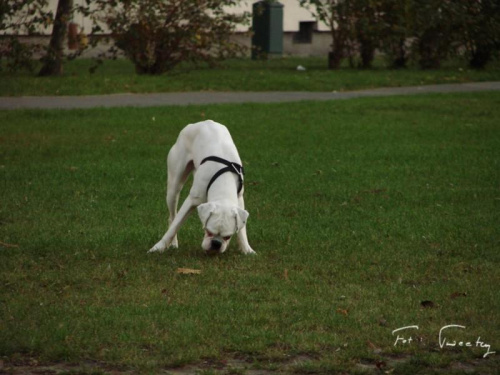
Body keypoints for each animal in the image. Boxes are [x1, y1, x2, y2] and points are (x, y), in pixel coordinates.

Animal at [147, 120, 256, 256]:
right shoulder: (191, 201)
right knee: (172, 217)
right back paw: (173, 244)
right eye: (208, 231)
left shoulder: (240, 201)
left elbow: (242, 230)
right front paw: (158, 247)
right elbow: (175, 225)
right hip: (173, 187)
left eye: (228, 237)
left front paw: (247, 249)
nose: (216, 244)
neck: (223, 184)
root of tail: (199, 123)